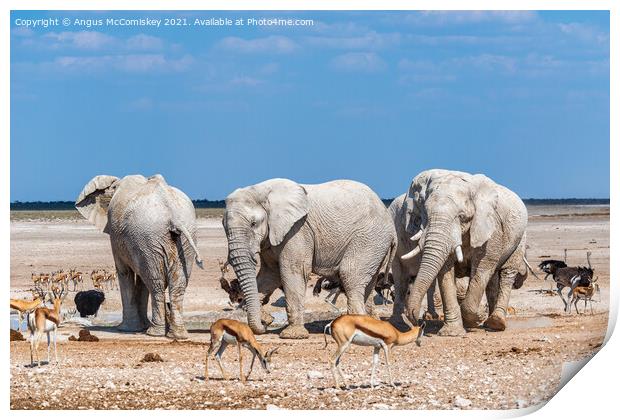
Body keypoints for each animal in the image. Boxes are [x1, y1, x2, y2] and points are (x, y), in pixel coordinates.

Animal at [74, 172, 202, 340]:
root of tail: (172, 213)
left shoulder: (119, 239)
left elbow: (124, 272)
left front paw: (126, 329)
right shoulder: (140, 247)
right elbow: (140, 279)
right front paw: (140, 326)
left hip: (149, 235)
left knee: (156, 283)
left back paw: (155, 333)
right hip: (183, 236)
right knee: (177, 283)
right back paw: (178, 335)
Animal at [225, 177, 394, 338]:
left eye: (253, 223)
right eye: (225, 227)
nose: (265, 324)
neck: (260, 190)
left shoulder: (297, 230)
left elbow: (293, 271)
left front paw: (292, 335)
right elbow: (270, 276)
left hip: (369, 239)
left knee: (350, 275)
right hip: (376, 246)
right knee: (369, 283)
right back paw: (373, 325)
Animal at [402, 169, 528, 336]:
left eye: (462, 217)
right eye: (426, 215)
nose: (418, 320)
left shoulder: (491, 226)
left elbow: (482, 268)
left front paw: (474, 321)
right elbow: (446, 272)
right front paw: (452, 332)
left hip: (520, 238)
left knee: (507, 273)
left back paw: (496, 323)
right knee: (492, 280)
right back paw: (489, 322)